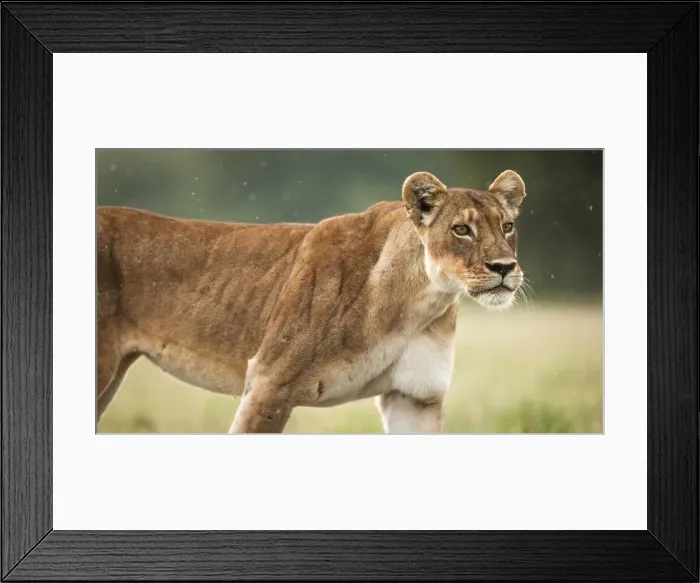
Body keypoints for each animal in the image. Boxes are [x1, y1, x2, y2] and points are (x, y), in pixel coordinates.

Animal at [97, 169, 527, 433]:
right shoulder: (269, 382)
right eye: (461, 230)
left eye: (507, 227)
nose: (505, 267)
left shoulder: (416, 397)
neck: (416, 303)